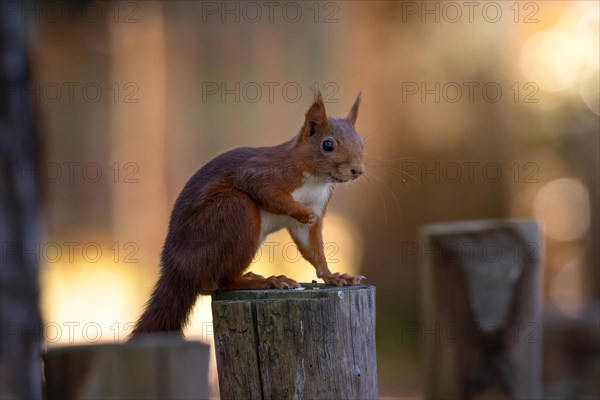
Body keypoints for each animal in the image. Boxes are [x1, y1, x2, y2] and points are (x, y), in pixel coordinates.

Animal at [131, 90, 366, 338]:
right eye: (327, 145)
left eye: (361, 142)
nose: (358, 170)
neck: (315, 180)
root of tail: (176, 271)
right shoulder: (264, 172)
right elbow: (264, 190)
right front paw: (301, 211)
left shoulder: (317, 206)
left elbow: (313, 248)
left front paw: (334, 276)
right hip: (234, 212)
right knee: (219, 283)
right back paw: (264, 281)